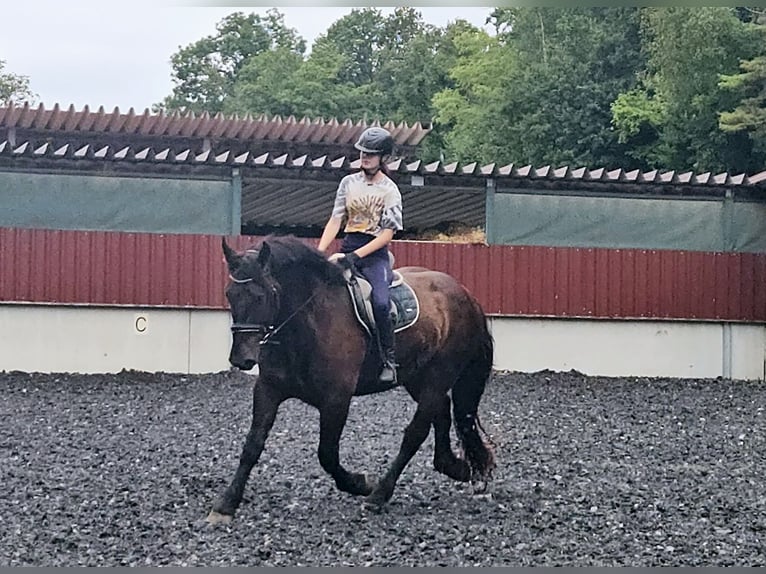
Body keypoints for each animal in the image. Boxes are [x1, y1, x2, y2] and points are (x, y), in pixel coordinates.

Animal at [207, 235, 498, 528]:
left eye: (261, 295)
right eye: (230, 294)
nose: (241, 359)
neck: (307, 322)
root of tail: (466, 294)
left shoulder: (336, 399)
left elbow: (327, 454)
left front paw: (361, 483)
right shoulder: (268, 389)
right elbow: (252, 445)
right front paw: (226, 504)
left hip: (439, 374)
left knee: (416, 432)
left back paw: (379, 495)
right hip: (417, 377)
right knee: (442, 412)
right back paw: (454, 467)